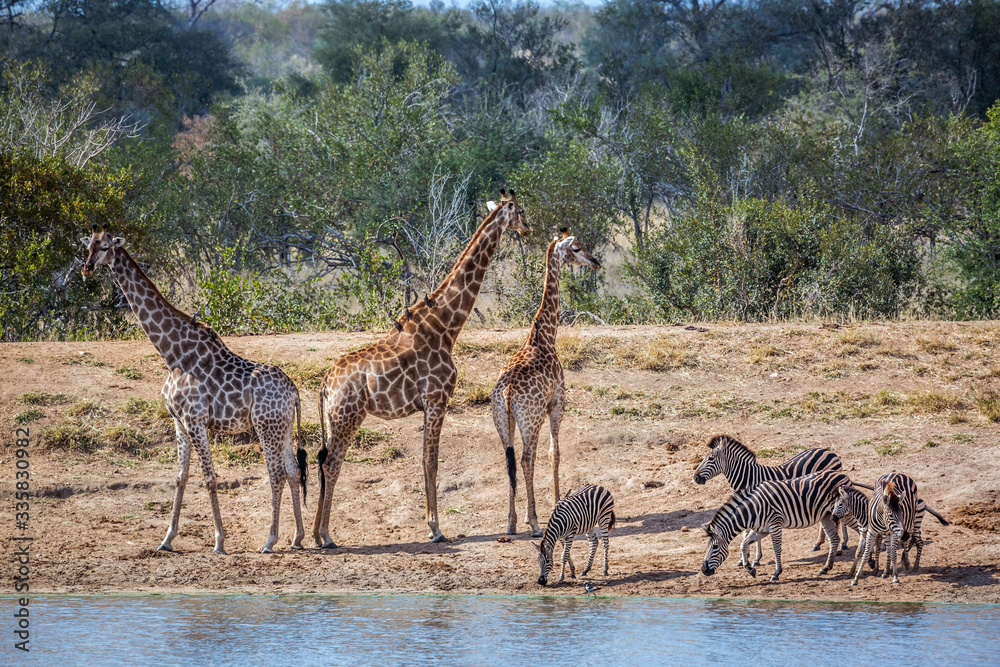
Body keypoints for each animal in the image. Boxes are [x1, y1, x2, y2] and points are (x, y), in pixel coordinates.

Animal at [80, 226, 307, 554]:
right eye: (88, 246)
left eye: (107, 247)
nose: (86, 268)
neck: (173, 354)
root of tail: (294, 391)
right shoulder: (178, 422)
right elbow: (181, 477)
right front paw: (167, 539)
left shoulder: (195, 420)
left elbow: (210, 478)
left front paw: (219, 541)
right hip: (284, 428)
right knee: (292, 471)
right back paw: (298, 537)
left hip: (266, 426)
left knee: (275, 474)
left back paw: (270, 540)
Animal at [312, 190, 530, 546]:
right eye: (520, 211)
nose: (528, 228)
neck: (445, 327)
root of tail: (325, 385)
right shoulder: (437, 399)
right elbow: (431, 461)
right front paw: (436, 528)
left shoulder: (431, 403)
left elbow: (426, 460)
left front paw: (433, 525)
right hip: (349, 416)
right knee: (332, 464)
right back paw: (326, 536)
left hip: (333, 419)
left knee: (323, 462)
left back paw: (315, 535)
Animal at [491, 229, 601, 536]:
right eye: (576, 248)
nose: (595, 262)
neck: (546, 336)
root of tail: (506, 393)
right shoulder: (557, 404)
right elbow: (555, 454)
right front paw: (557, 503)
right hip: (531, 419)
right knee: (526, 459)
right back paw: (535, 522)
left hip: (503, 420)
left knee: (509, 461)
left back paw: (511, 523)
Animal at [693, 434, 856, 565]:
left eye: (711, 458)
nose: (695, 478)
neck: (749, 477)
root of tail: (829, 451)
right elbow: (747, 533)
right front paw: (747, 558)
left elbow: (750, 533)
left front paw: (754, 558)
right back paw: (819, 543)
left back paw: (843, 543)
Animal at [700, 470, 854, 582]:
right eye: (707, 546)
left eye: (715, 547)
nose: (704, 570)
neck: (753, 509)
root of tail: (843, 474)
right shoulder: (762, 530)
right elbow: (743, 544)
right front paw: (750, 569)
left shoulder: (775, 524)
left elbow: (776, 549)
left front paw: (776, 573)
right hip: (826, 516)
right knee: (834, 539)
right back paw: (826, 567)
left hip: (844, 513)